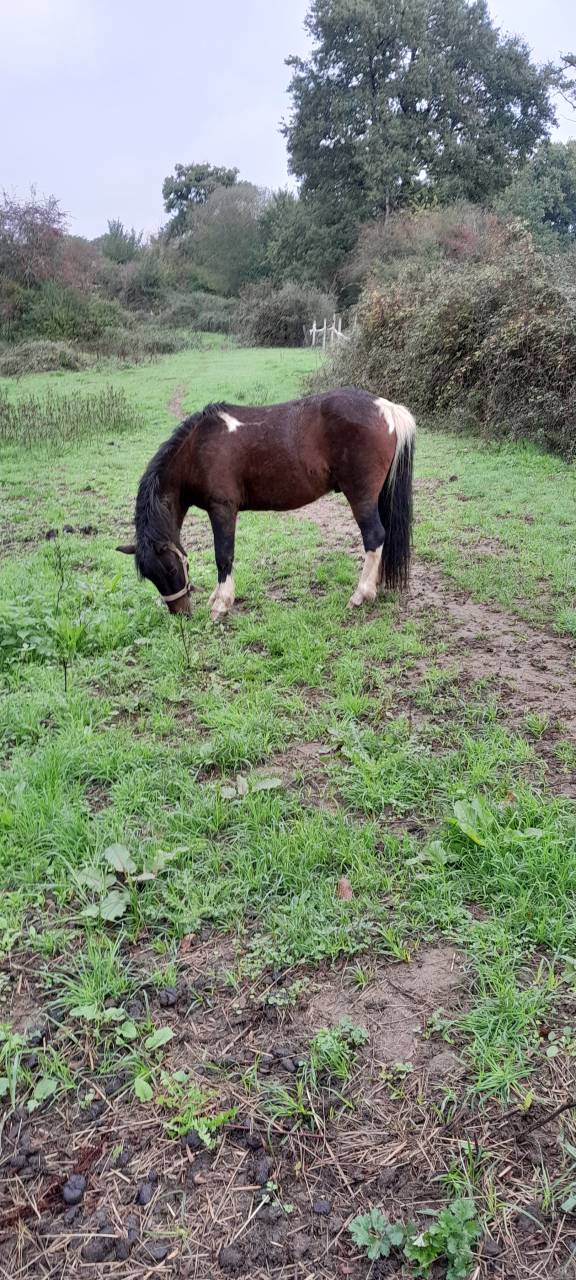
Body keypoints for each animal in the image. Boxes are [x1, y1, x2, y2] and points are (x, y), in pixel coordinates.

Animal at [117, 387, 416, 621]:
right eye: (150, 576)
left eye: (170, 568)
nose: (181, 613)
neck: (197, 449)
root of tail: (387, 408)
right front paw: (216, 597)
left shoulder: (222, 509)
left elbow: (223, 555)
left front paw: (221, 604)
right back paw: (375, 586)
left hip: (361, 495)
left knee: (374, 536)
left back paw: (360, 594)